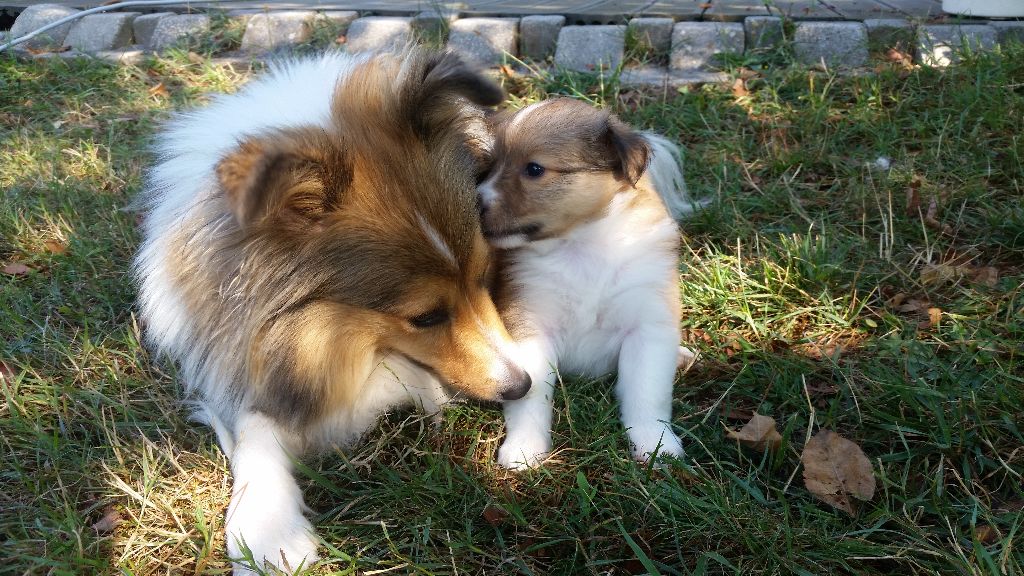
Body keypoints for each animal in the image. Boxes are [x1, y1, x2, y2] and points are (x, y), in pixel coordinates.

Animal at [475, 97, 700, 467]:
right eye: (489, 166)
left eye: (534, 169)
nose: (473, 201)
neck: (584, 245)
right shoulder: (529, 326)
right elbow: (531, 395)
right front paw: (524, 448)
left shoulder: (646, 324)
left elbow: (647, 394)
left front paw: (656, 446)